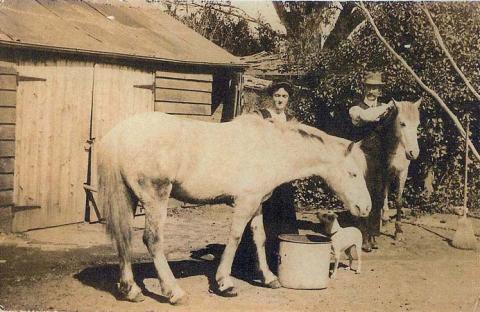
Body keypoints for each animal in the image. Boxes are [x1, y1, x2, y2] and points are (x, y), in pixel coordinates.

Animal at [95, 112, 370, 304]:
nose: (365, 208)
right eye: (353, 173)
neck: (269, 147)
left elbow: (259, 238)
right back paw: (174, 292)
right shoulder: (245, 202)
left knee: (124, 238)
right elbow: (235, 238)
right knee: (152, 240)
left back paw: (131, 290)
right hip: (155, 197)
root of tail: (120, 133)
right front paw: (224, 284)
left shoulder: (257, 203)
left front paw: (269, 278)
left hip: (129, 197)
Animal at [356, 100, 420, 251]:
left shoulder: (402, 173)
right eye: (402, 123)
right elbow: (379, 199)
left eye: (418, 124)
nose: (413, 153)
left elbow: (398, 201)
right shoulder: (383, 174)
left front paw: (399, 232)